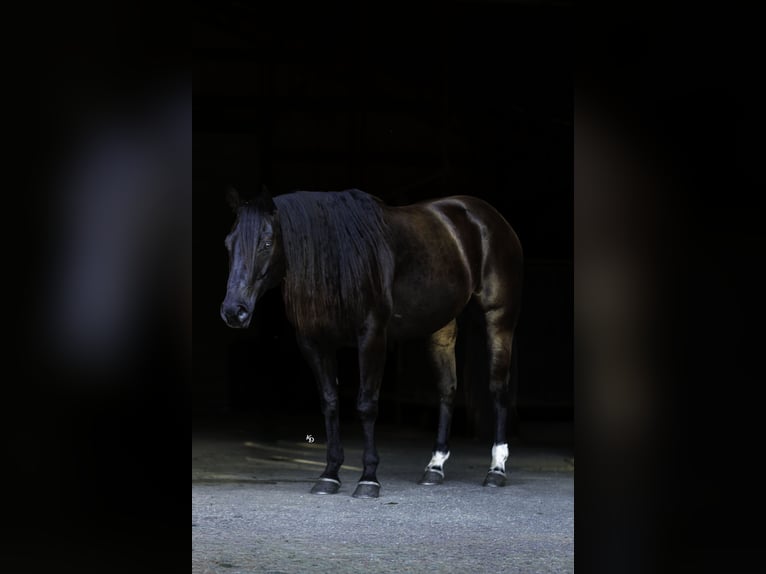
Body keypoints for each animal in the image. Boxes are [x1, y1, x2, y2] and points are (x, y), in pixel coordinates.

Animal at [221, 187, 523, 498]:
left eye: (267, 243)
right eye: (228, 244)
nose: (234, 311)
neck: (339, 258)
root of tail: (489, 217)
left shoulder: (372, 336)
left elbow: (366, 405)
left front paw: (368, 479)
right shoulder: (315, 343)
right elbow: (330, 403)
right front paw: (329, 475)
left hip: (499, 317)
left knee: (498, 388)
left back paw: (496, 469)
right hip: (441, 325)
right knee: (447, 390)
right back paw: (434, 467)